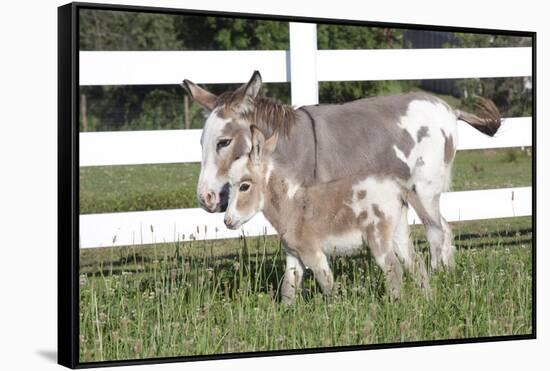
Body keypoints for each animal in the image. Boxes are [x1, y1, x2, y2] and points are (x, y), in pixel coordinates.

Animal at [224, 126, 432, 304]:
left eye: (244, 186)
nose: (227, 221)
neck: (292, 206)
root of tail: (397, 187)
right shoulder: (293, 255)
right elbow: (288, 289)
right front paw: (284, 316)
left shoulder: (312, 253)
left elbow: (327, 285)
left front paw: (333, 310)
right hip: (399, 232)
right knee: (415, 264)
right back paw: (427, 300)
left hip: (378, 236)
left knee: (393, 268)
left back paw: (395, 305)